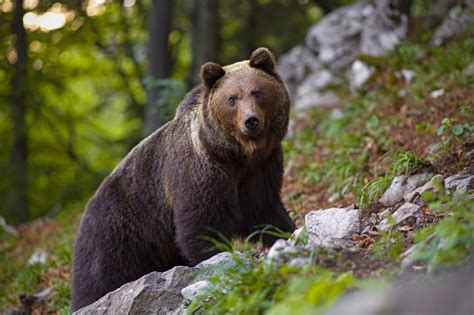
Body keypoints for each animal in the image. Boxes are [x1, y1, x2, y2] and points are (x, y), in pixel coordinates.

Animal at [71, 47, 294, 312]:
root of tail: (85, 211)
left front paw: (286, 233)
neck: (235, 155)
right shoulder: (199, 171)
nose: (251, 120)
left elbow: (264, 210)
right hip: (116, 232)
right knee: (100, 278)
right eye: (232, 98)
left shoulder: (260, 169)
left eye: (257, 92)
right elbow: (202, 223)